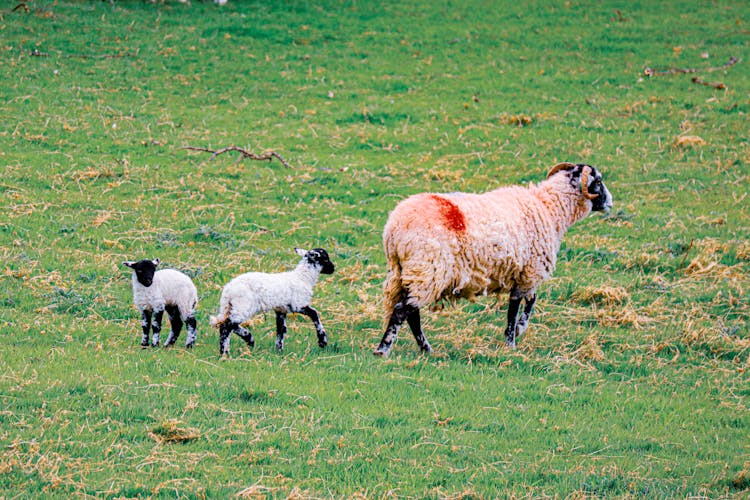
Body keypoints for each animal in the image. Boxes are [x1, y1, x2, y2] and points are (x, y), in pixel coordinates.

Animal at [376, 161, 616, 356]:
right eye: (598, 181)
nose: (610, 203)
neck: (550, 208)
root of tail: (394, 229)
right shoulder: (529, 271)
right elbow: (517, 308)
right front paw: (513, 338)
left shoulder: (523, 272)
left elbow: (527, 301)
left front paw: (515, 334)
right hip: (428, 270)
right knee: (402, 311)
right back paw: (384, 349)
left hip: (403, 272)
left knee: (410, 313)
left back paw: (425, 349)